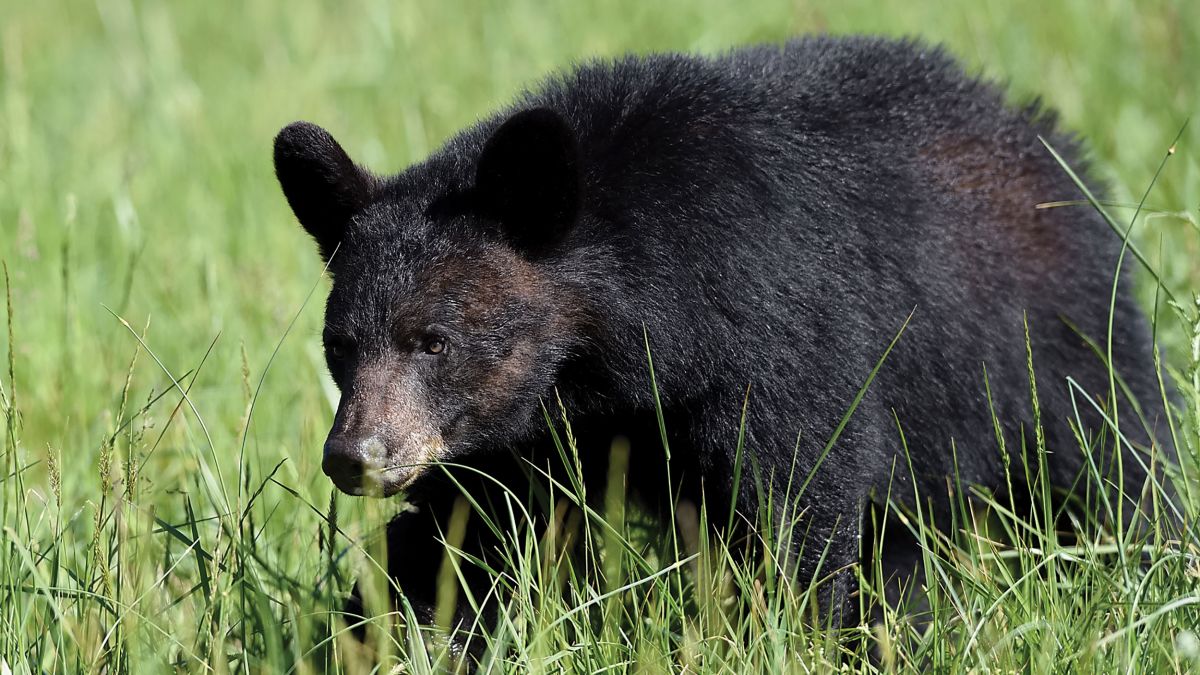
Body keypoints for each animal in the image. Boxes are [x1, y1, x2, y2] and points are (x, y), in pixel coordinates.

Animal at [274, 35, 1171, 629]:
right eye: (339, 344)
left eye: (435, 340)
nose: (354, 455)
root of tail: (1047, 134)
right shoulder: (517, 435)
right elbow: (461, 540)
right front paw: (385, 628)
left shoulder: (781, 340)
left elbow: (801, 503)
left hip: (1057, 345)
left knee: (1115, 469)